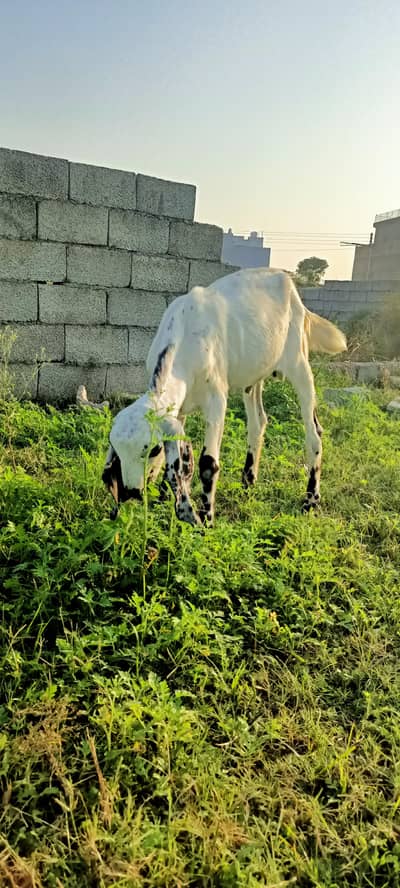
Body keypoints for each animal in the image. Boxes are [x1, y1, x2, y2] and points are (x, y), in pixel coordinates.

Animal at [103, 268, 346, 525]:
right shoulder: (177, 411)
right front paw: (163, 502)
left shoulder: (216, 400)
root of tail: (286, 280)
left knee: (314, 433)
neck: (185, 337)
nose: (130, 492)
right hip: (253, 377)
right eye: (118, 451)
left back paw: (311, 499)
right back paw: (248, 481)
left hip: (299, 363)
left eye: (153, 449)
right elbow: (179, 462)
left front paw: (206, 518)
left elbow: (208, 463)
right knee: (258, 423)